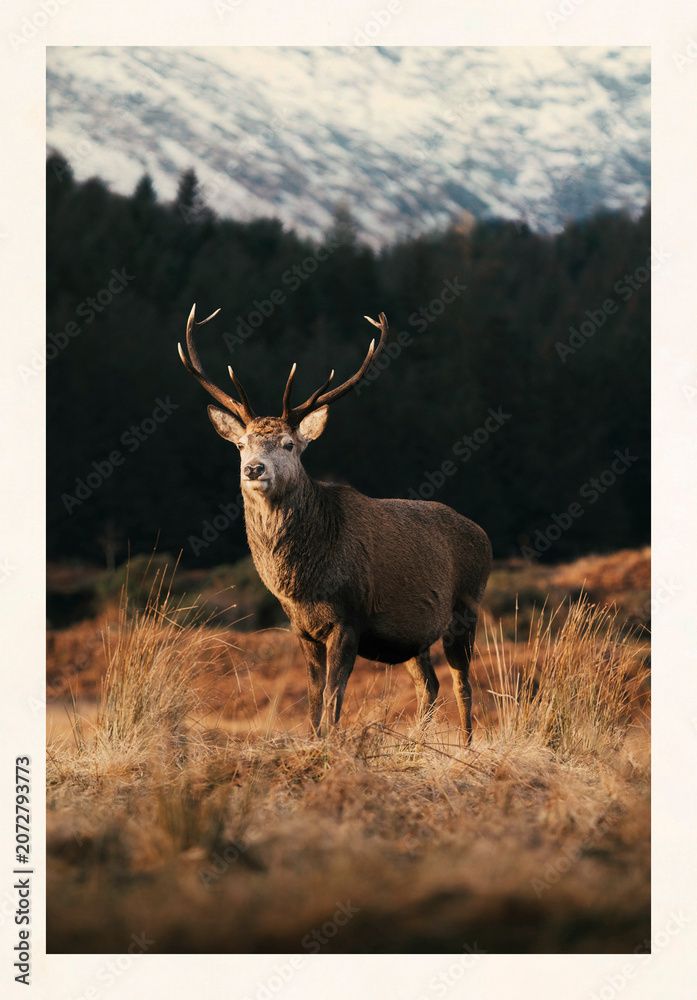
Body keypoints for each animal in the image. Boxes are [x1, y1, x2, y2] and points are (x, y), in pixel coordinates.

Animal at [179, 304, 492, 740]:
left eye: (289, 444)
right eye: (240, 444)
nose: (254, 469)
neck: (303, 583)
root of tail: (484, 535)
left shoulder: (350, 617)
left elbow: (333, 696)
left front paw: (331, 743)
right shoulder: (301, 627)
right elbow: (312, 697)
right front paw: (313, 741)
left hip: (466, 608)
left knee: (464, 682)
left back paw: (464, 746)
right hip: (412, 635)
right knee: (429, 683)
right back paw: (418, 743)